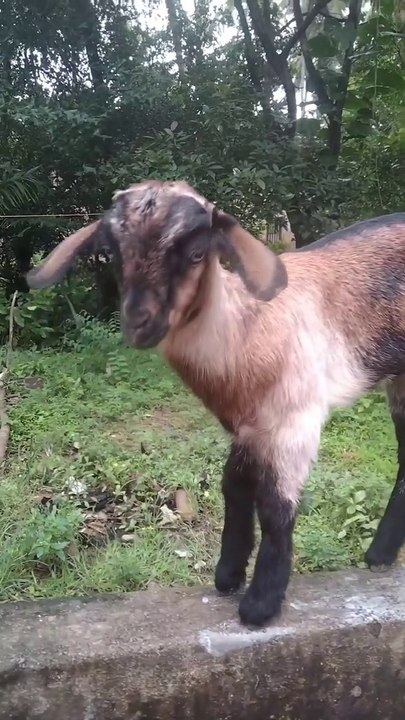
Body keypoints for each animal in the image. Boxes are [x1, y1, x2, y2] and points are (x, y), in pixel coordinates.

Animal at [26, 180, 405, 628]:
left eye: (195, 253)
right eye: (113, 254)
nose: (139, 324)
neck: (245, 327)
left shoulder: (295, 419)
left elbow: (275, 507)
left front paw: (260, 604)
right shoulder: (247, 425)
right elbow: (235, 488)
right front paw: (228, 575)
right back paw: (381, 555)